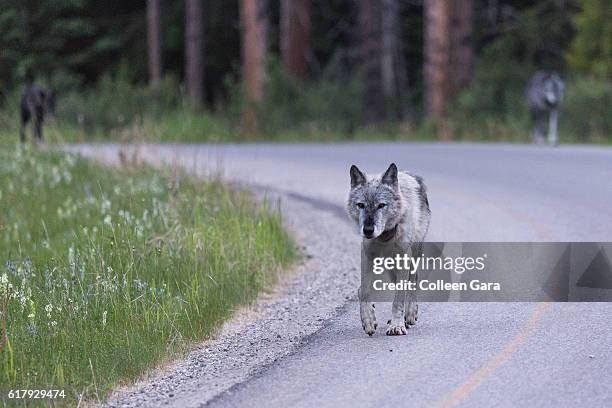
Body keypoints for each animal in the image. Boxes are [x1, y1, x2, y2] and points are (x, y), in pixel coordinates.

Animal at [346, 164, 432, 336]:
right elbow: (363, 290)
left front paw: (397, 326)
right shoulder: (367, 256)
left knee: (413, 281)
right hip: (390, 266)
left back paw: (409, 314)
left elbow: (398, 299)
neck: (384, 237)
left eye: (381, 205)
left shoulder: (404, 259)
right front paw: (369, 320)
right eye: (361, 205)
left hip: (411, 257)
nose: (368, 230)